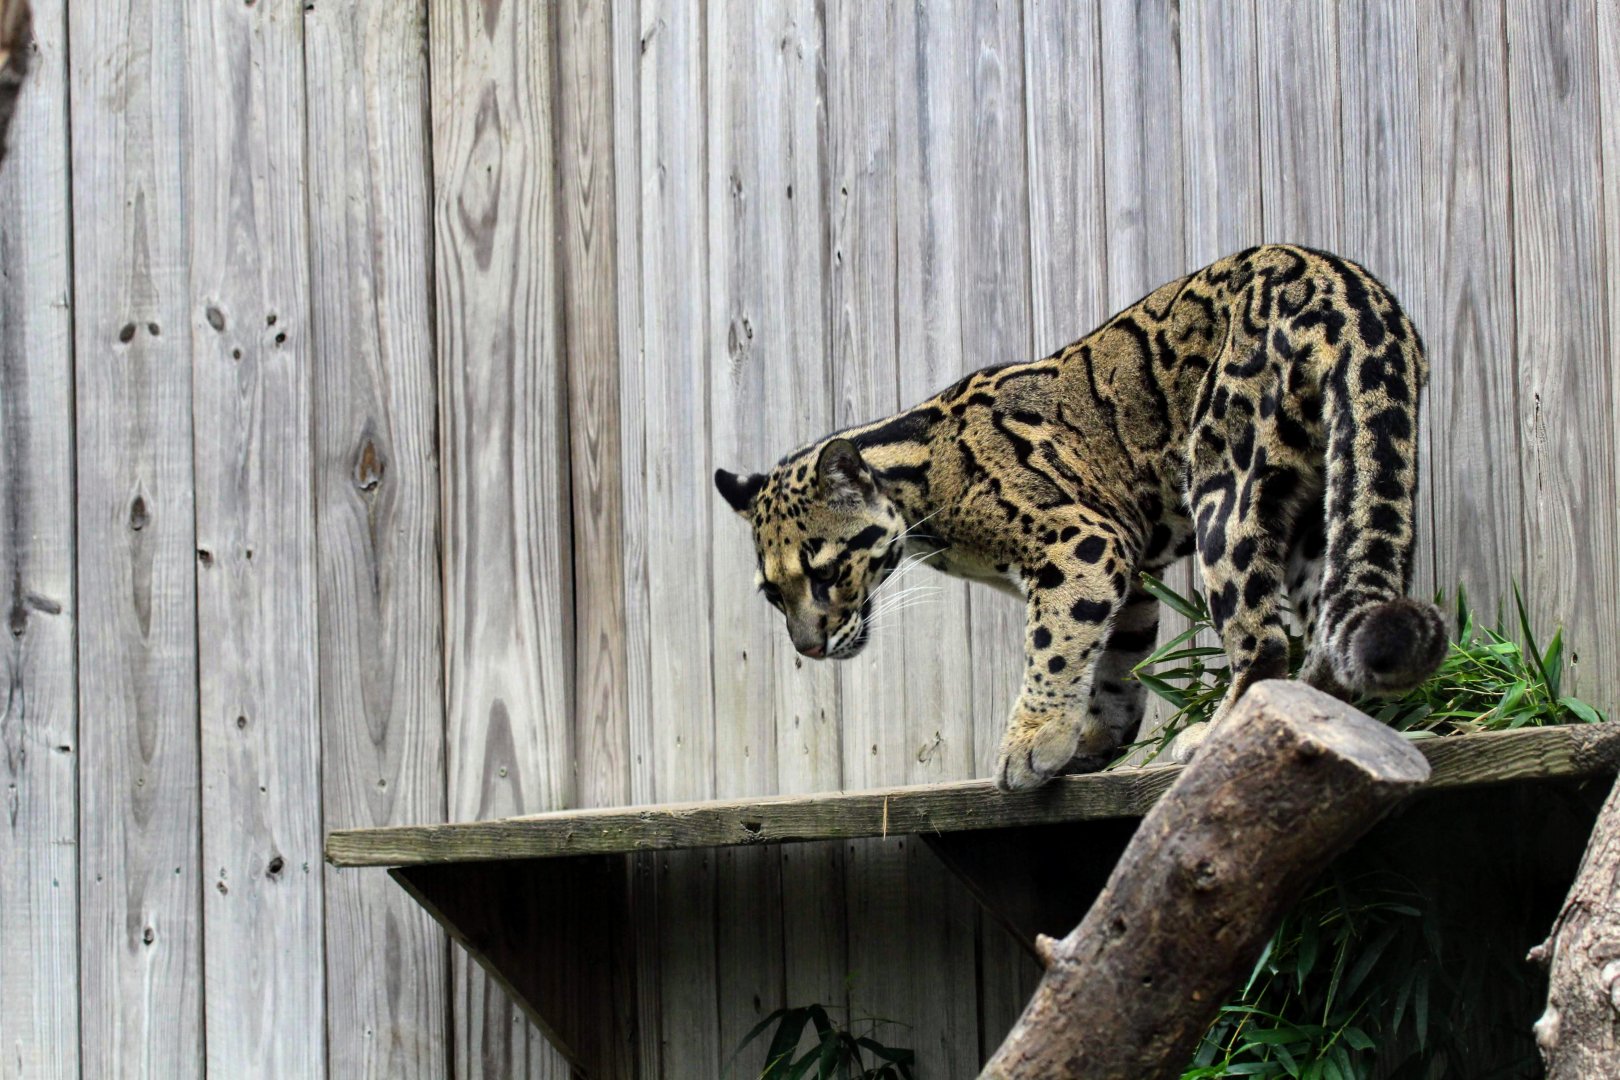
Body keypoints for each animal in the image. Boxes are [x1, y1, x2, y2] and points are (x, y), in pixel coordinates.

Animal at [714, 245, 1448, 792]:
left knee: (1263, 639)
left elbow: (1055, 647)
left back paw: (1215, 736)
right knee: (1326, 625)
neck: (921, 483)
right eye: (772, 593)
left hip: (1226, 478)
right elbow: (1113, 663)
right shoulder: (1124, 568)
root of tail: (1344, 283)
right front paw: (1091, 740)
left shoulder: (1080, 540)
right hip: (1318, 506)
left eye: (826, 572)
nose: (808, 648)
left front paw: (1030, 744)